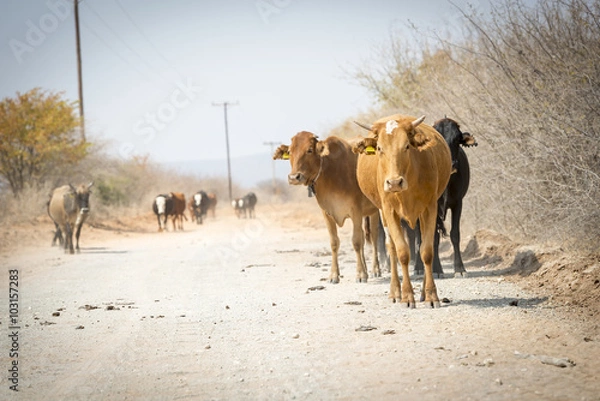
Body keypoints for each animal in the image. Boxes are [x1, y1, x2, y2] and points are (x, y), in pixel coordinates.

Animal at [274, 130, 382, 282]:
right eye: (290, 151)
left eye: (309, 150)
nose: (294, 177)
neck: (330, 172)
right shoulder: (327, 213)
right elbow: (334, 242)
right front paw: (334, 275)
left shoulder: (355, 211)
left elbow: (356, 241)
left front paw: (360, 274)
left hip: (374, 211)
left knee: (373, 236)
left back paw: (375, 269)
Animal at [352, 114, 450, 308]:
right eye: (379, 148)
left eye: (406, 146)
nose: (394, 182)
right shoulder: (389, 211)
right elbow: (402, 252)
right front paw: (407, 296)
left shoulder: (430, 207)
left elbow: (427, 251)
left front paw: (431, 295)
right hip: (382, 212)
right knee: (391, 248)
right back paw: (395, 292)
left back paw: (422, 293)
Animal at [410, 117, 476, 276]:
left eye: (457, 139)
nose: (450, 164)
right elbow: (433, 237)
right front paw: (436, 269)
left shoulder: (458, 203)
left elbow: (455, 235)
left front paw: (460, 268)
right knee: (419, 238)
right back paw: (419, 267)